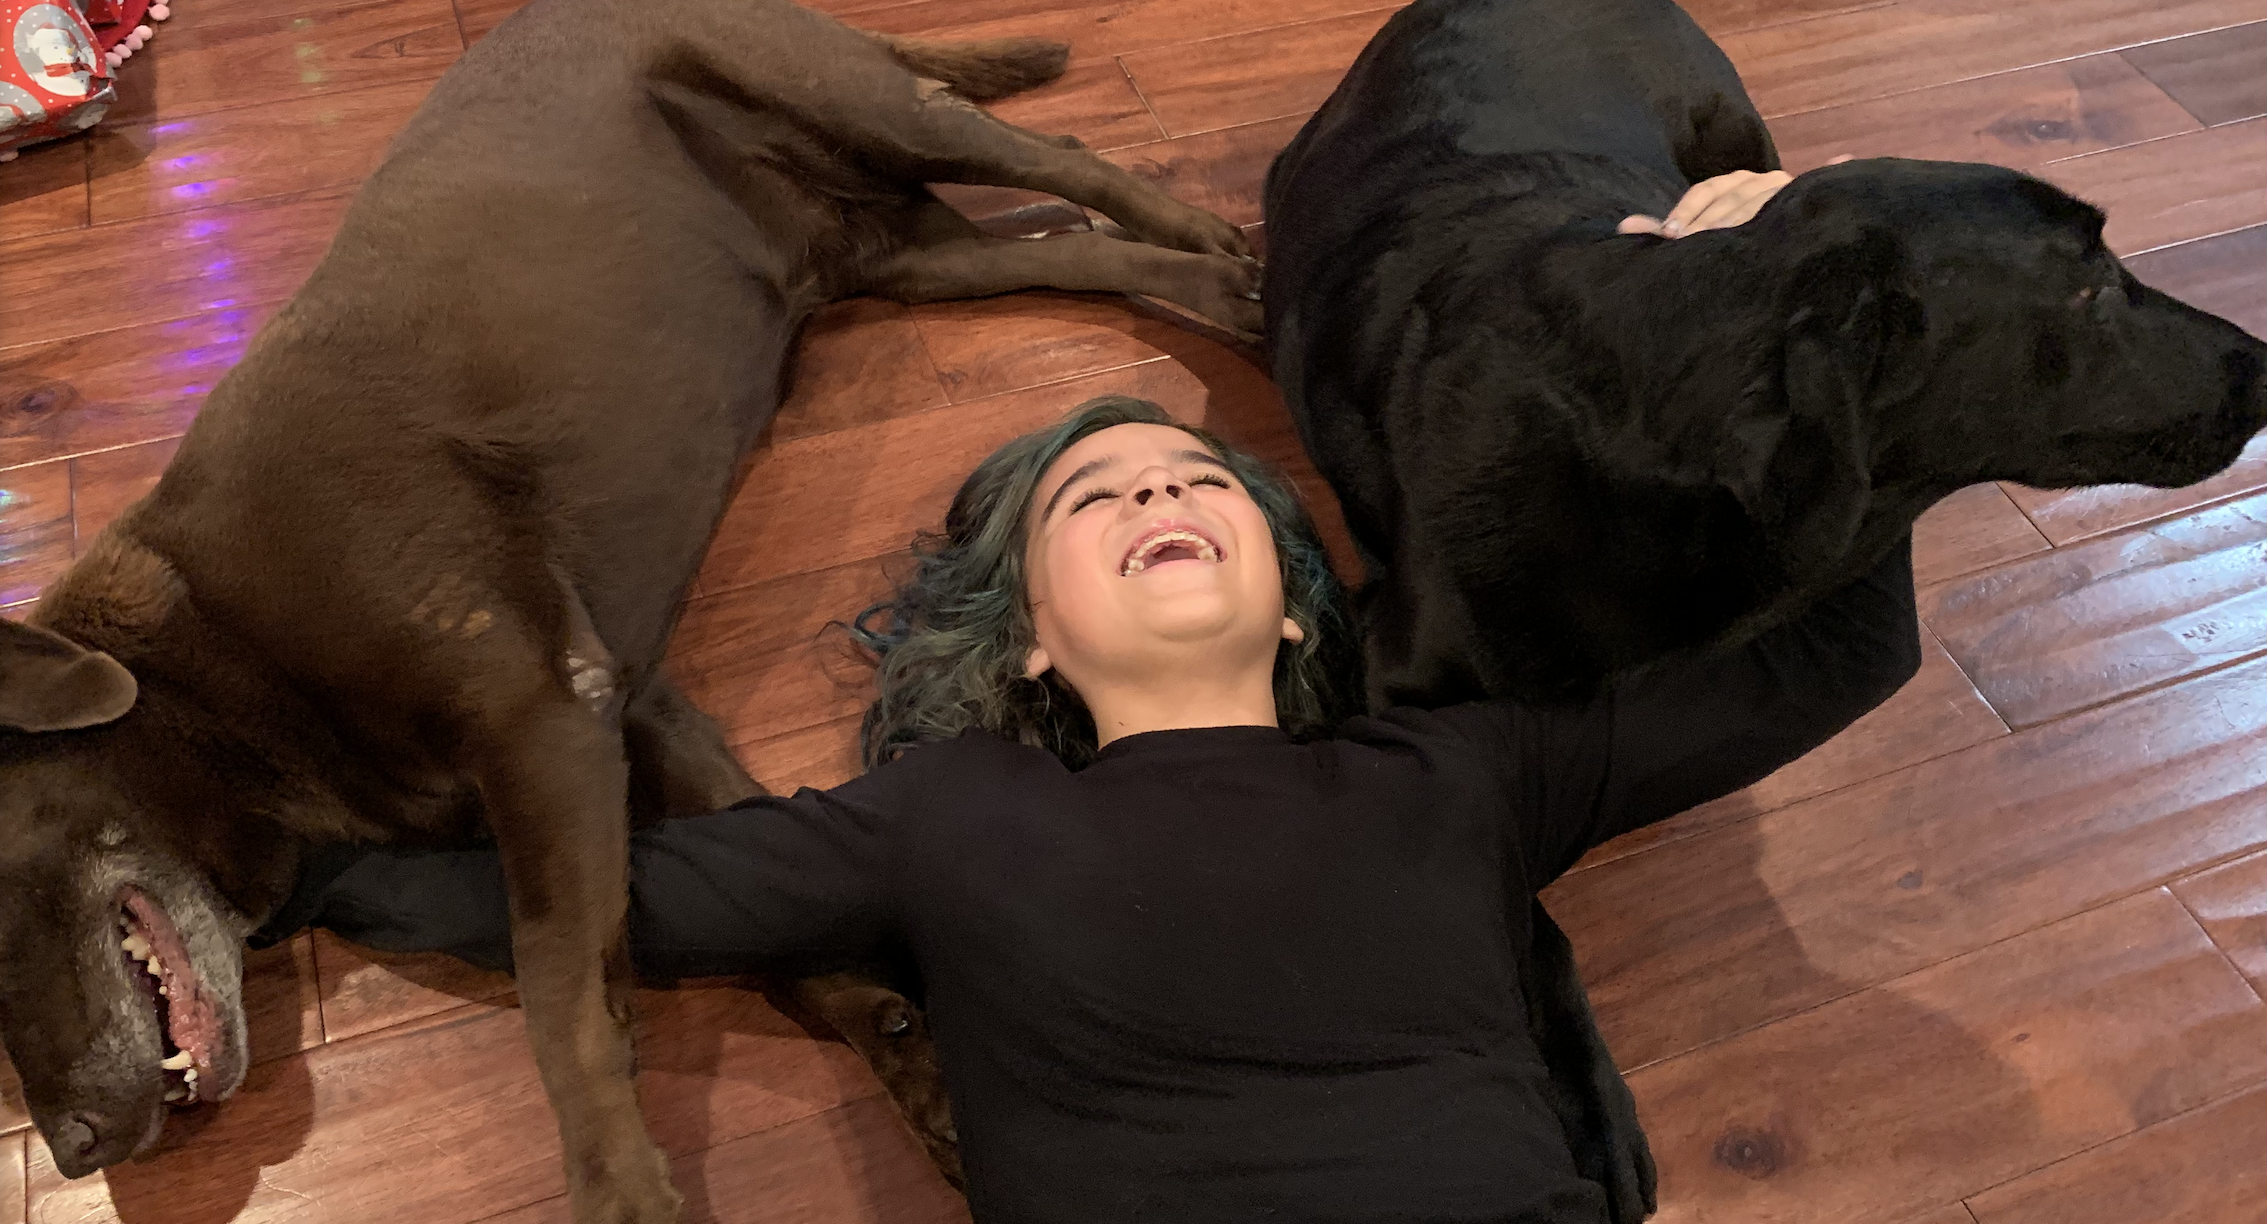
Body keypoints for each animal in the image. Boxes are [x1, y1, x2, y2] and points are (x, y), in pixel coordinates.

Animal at [0, 0, 1264, 1218]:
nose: (71, 1151)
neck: (214, 663)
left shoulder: (543, 724)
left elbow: (558, 1001)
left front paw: (617, 1186)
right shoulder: (637, 718)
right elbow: (774, 918)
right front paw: (909, 1063)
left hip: (861, 104)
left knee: (1060, 159)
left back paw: (1216, 244)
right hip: (919, 260)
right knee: (1074, 250)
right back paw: (1210, 283)